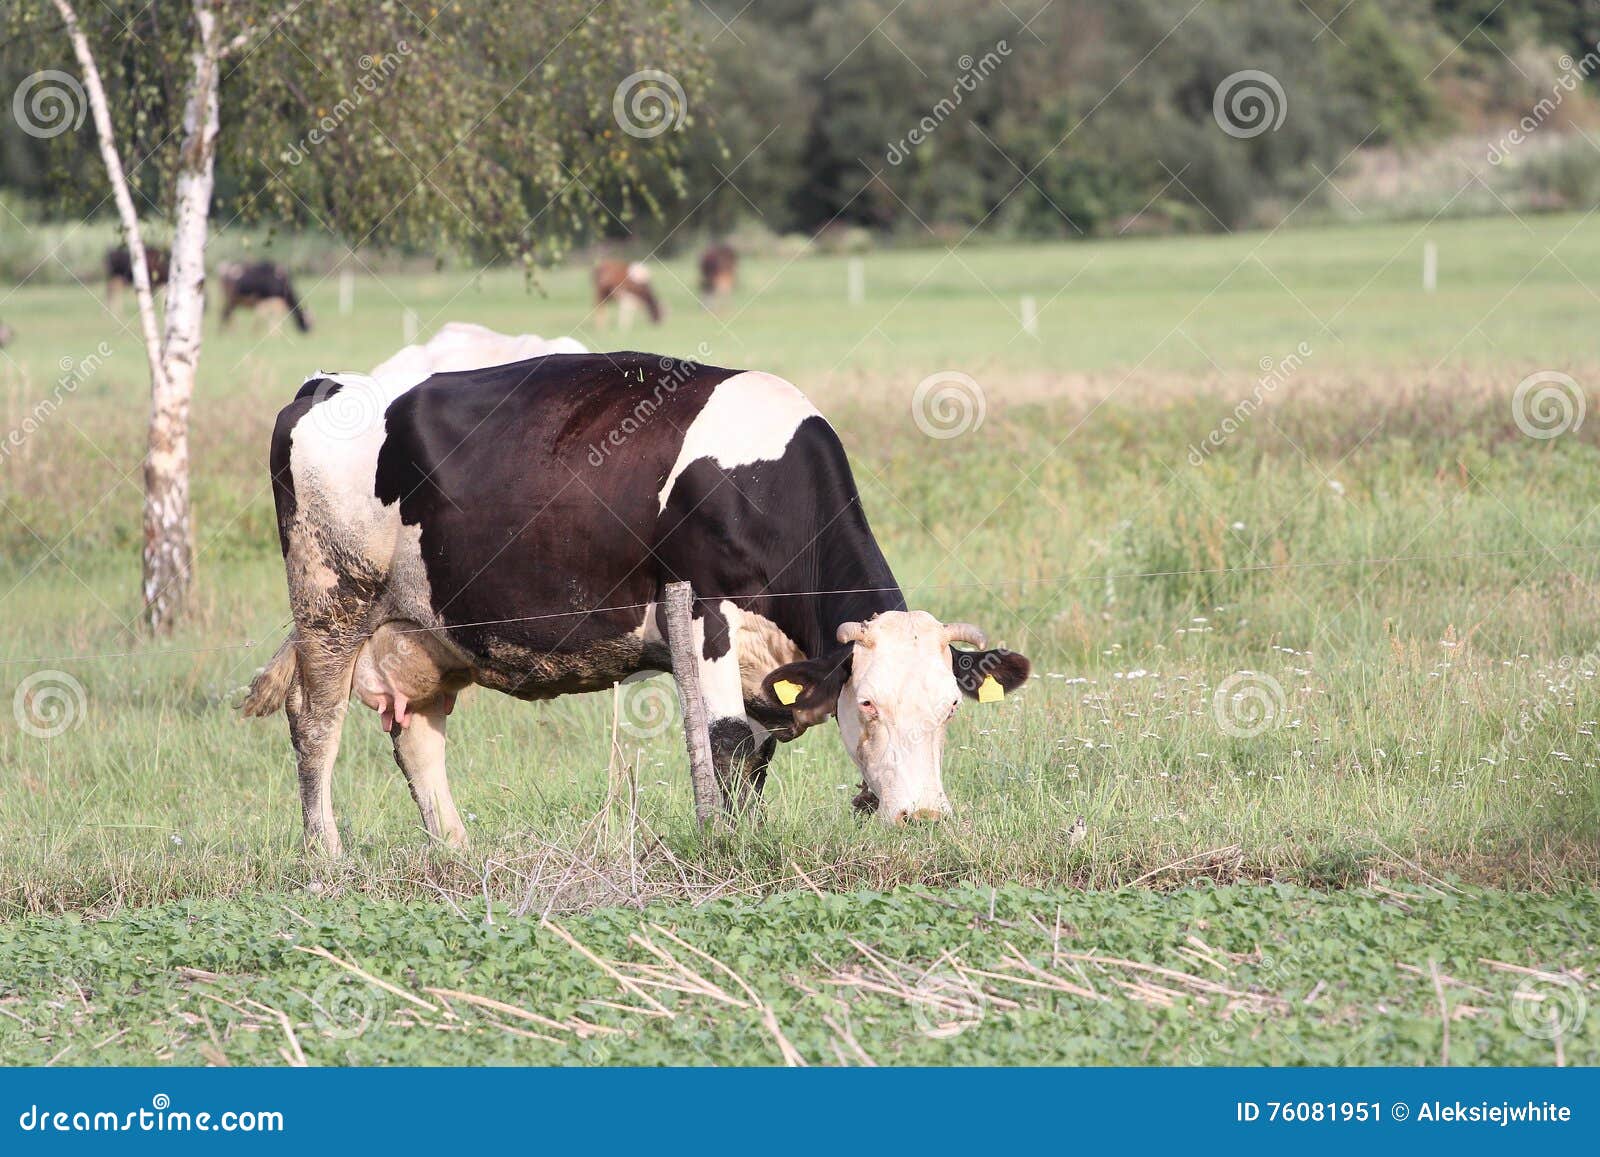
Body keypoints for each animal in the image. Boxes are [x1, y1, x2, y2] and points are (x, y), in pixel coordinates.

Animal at [243, 356, 1030, 857]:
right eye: (866, 702)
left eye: (950, 709)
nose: (921, 815)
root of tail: (327, 383)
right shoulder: (703, 610)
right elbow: (725, 742)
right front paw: (731, 849)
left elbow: (748, 755)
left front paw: (739, 836)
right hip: (329, 601)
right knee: (316, 724)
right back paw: (326, 853)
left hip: (427, 630)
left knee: (417, 738)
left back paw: (456, 851)